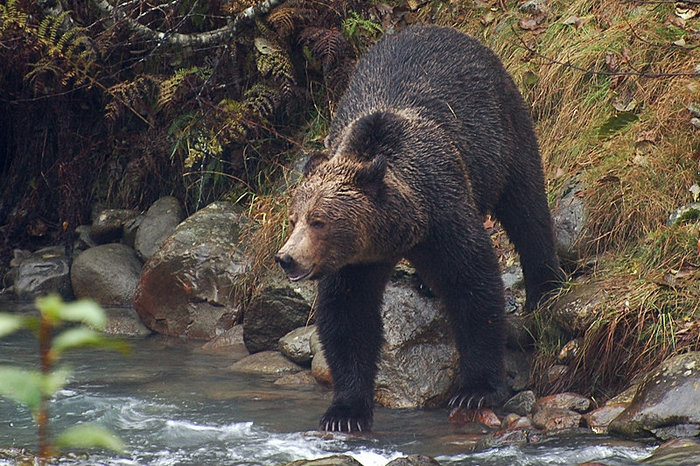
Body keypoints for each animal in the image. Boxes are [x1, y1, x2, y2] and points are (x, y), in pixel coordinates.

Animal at [276, 24, 560, 434]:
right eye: (294, 218)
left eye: (319, 221)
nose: (287, 258)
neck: (399, 229)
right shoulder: (351, 264)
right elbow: (347, 319)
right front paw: (345, 412)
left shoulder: (443, 211)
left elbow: (472, 285)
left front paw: (475, 389)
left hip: (503, 127)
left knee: (527, 207)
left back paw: (545, 288)